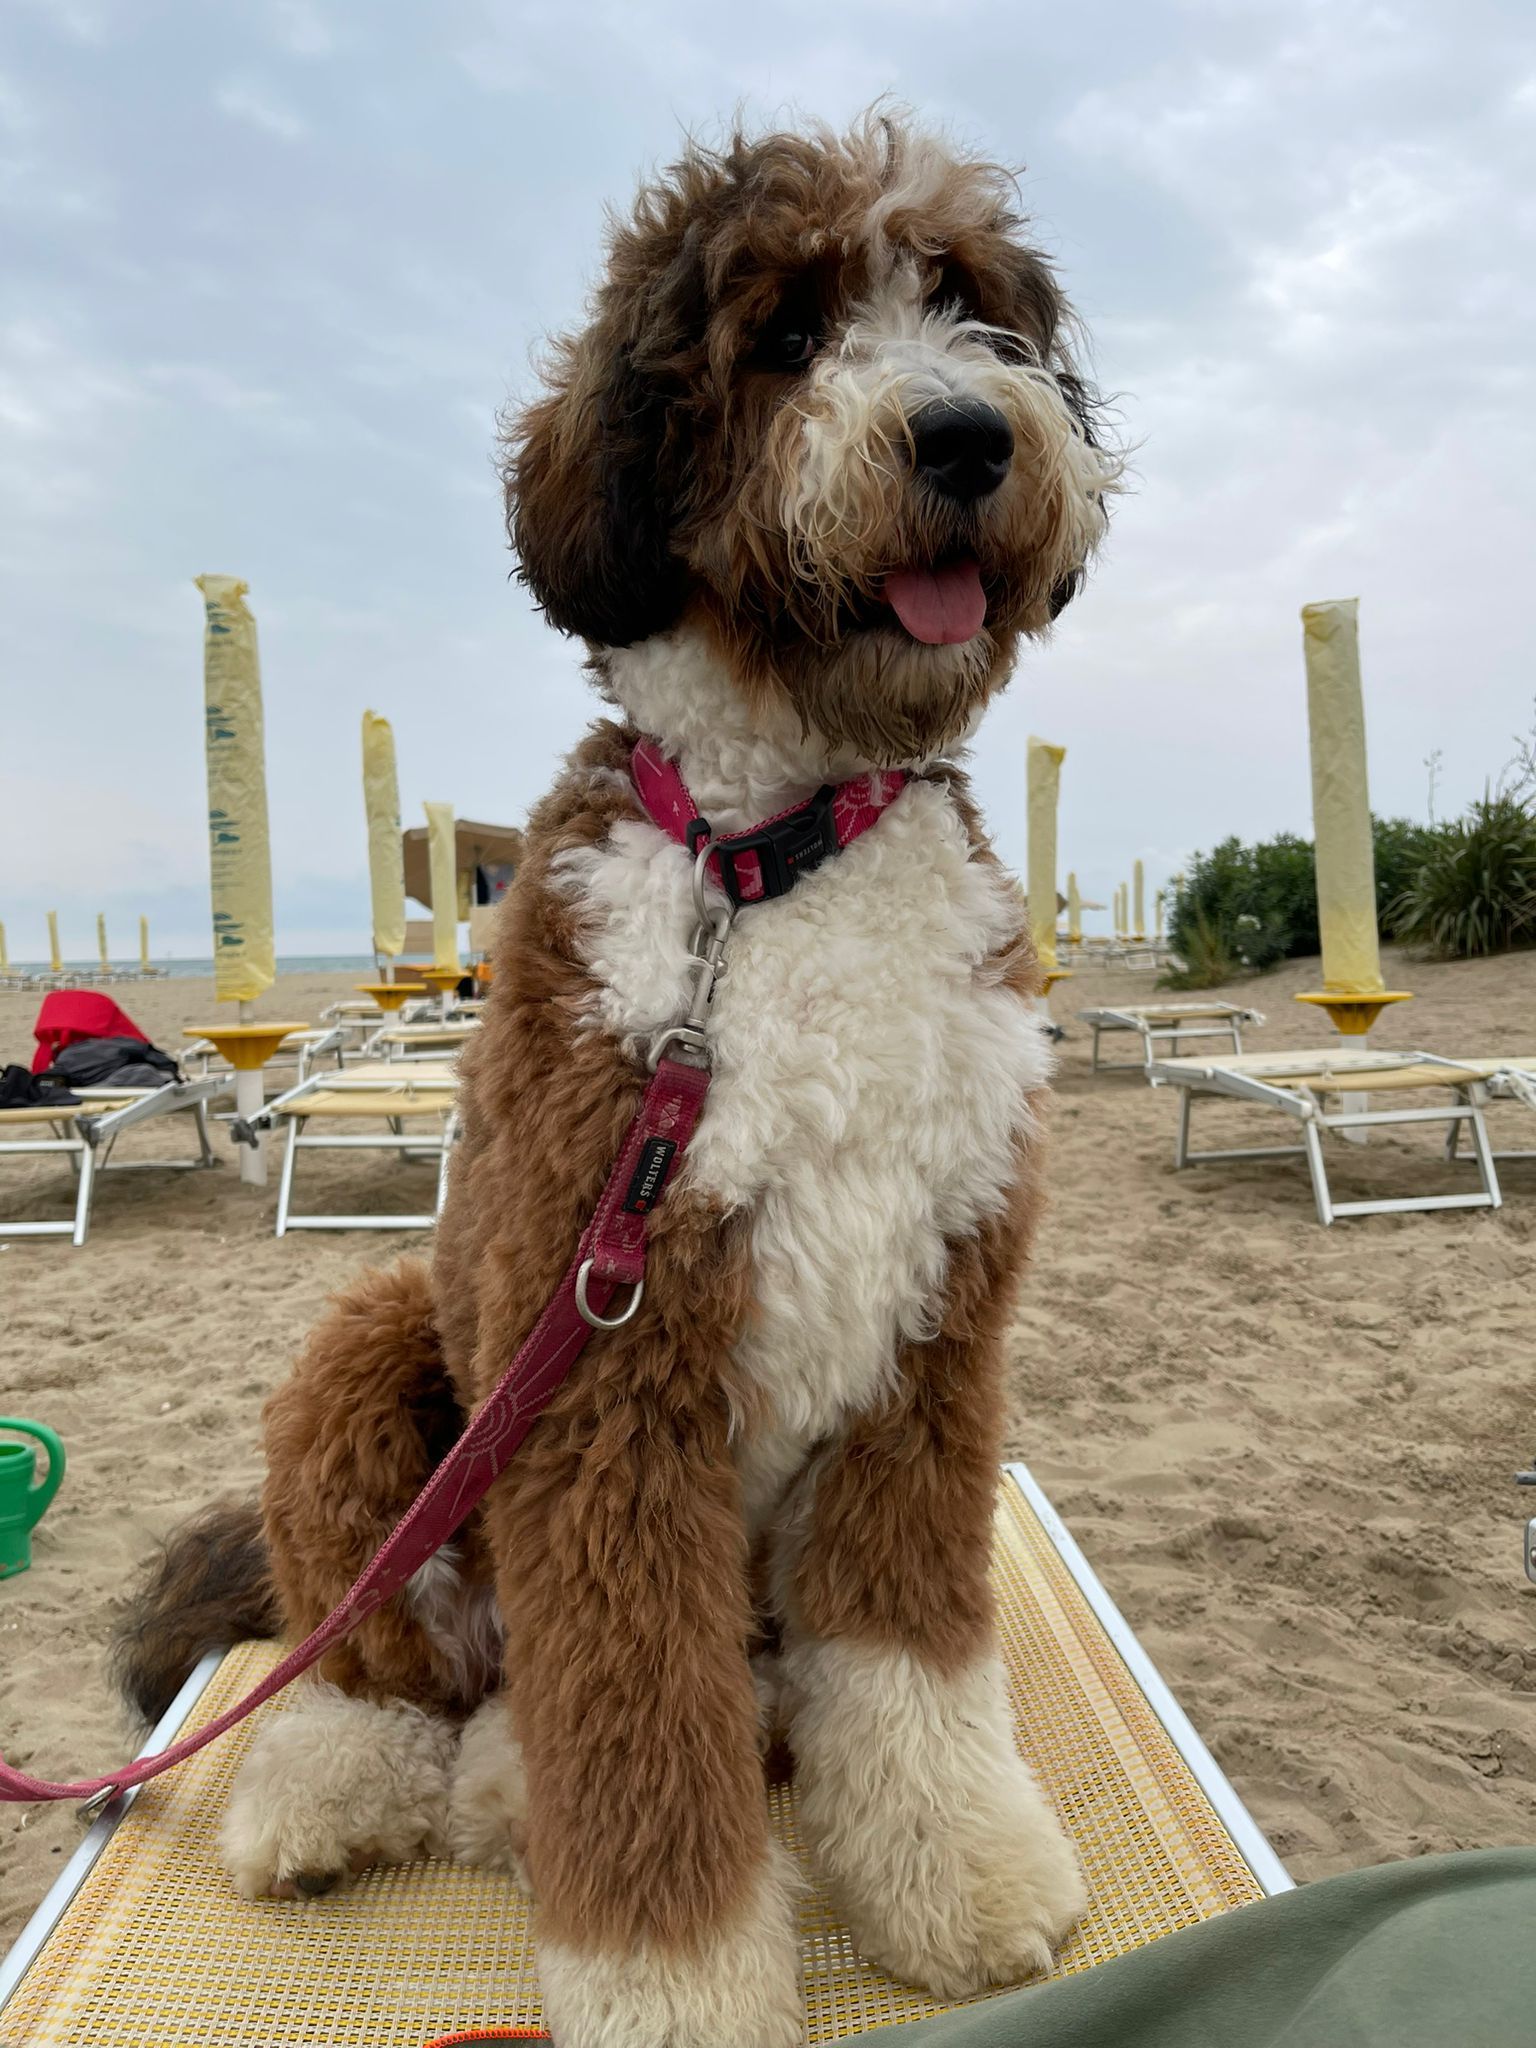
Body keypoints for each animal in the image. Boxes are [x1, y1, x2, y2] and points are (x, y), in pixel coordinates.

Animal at [117, 111, 1118, 2048]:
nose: (968, 435)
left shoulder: (932, 1341)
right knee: (382, 1658)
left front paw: (954, 1866)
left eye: (974, 311)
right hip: (381, 1349)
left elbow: (905, 1654)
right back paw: (343, 1787)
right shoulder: (611, 1378)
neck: (775, 856)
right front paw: (675, 1989)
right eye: (785, 336)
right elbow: (640, 1726)